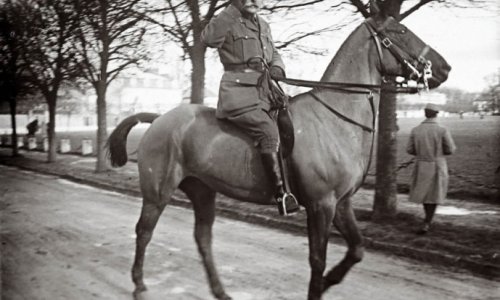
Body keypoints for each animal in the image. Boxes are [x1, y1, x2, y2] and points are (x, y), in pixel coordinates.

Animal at [107, 14, 452, 300]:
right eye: (401, 31)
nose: (444, 68)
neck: (334, 116)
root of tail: (159, 118)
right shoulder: (321, 205)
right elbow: (317, 259)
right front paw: (319, 286)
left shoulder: (341, 204)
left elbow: (357, 250)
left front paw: (329, 281)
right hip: (158, 193)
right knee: (144, 232)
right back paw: (139, 285)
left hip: (203, 191)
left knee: (202, 238)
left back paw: (220, 291)